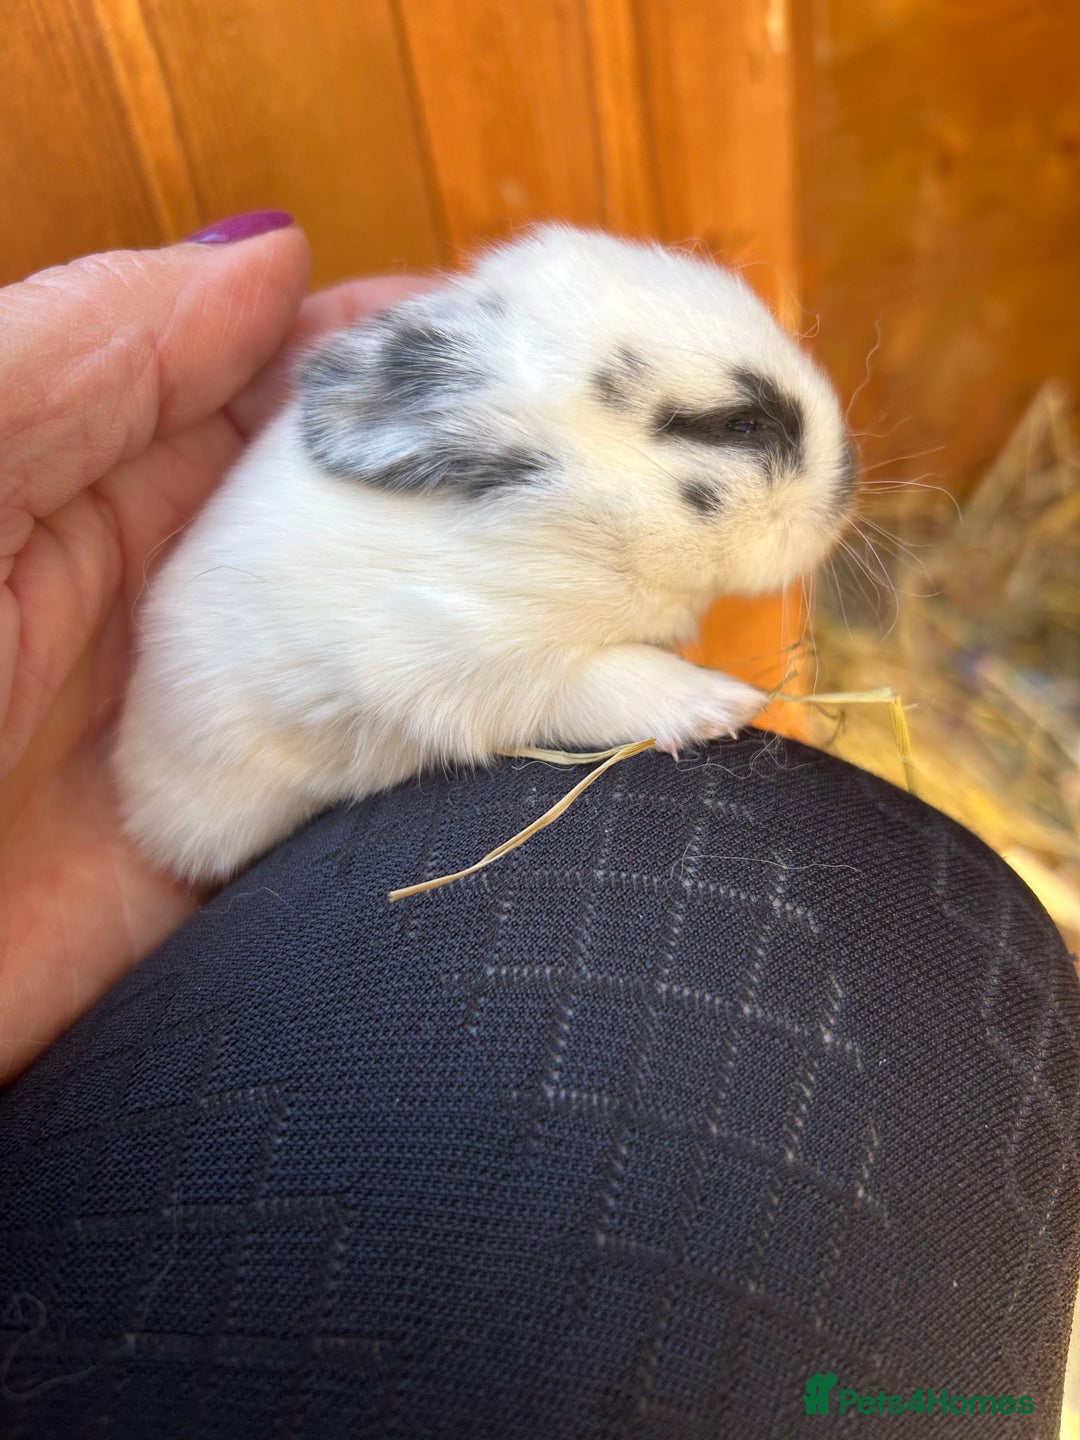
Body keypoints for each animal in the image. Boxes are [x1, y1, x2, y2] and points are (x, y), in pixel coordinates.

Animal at [113, 224, 858, 884]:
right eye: (743, 425)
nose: (848, 485)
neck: (590, 511)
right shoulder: (474, 662)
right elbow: (603, 683)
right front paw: (723, 703)